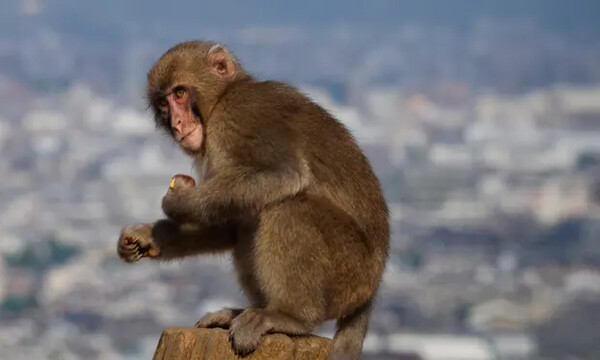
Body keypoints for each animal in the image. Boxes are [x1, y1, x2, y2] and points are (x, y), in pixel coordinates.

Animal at [116, 40, 390, 360]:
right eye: (163, 103)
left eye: (180, 93)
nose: (176, 123)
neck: (221, 100)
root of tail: (371, 293)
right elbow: (229, 225)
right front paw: (148, 236)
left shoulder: (241, 115)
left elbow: (284, 174)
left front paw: (179, 202)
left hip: (351, 273)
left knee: (288, 209)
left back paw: (289, 316)